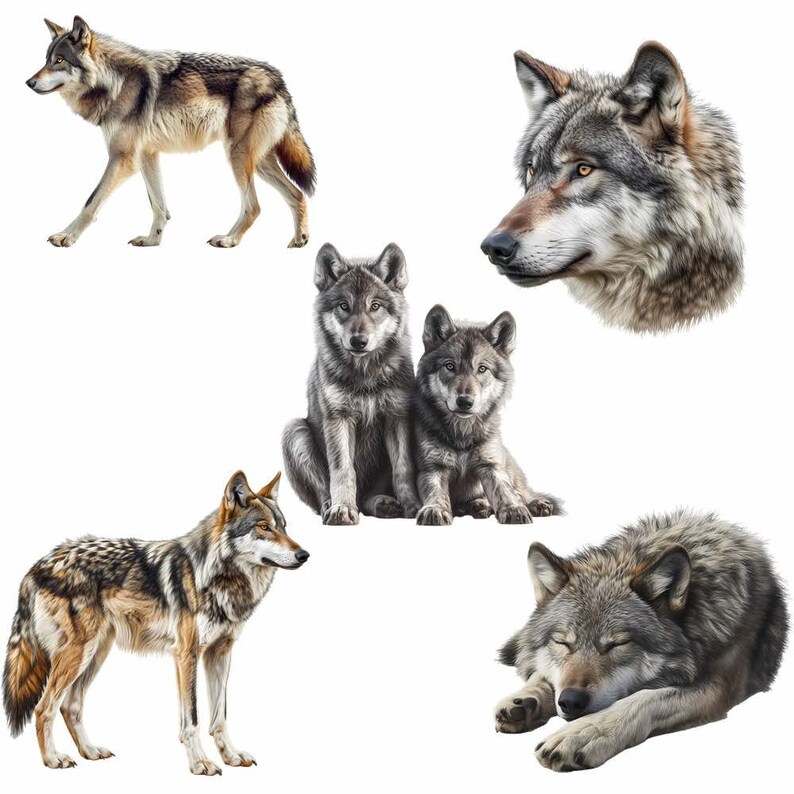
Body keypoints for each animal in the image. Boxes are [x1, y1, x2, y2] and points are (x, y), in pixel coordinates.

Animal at [3, 471, 309, 775]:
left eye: (284, 527)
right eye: (264, 528)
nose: (304, 555)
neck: (217, 577)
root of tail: (38, 565)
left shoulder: (220, 652)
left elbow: (219, 717)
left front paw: (231, 756)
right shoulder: (187, 654)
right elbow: (192, 719)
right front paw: (200, 763)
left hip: (94, 655)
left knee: (70, 706)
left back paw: (90, 751)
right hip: (78, 655)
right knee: (44, 708)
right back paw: (53, 759)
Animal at [26, 16, 316, 248]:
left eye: (59, 60)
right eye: (46, 60)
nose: (29, 82)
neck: (115, 82)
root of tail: (279, 79)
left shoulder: (122, 158)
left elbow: (90, 202)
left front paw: (66, 236)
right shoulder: (147, 155)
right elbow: (159, 206)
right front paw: (152, 241)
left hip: (238, 156)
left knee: (254, 206)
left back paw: (228, 240)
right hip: (259, 161)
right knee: (297, 194)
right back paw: (299, 240)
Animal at [282, 243, 420, 525]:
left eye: (375, 306)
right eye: (344, 306)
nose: (358, 341)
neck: (365, 376)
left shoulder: (397, 417)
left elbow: (403, 468)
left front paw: (412, 505)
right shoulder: (339, 419)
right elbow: (342, 470)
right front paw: (343, 509)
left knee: (368, 499)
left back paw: (383, 504)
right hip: (295, 431)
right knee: (323, 491)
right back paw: (331, 507)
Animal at [413, 304, 559, 525]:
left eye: (482, 369)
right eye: (450, 366)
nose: (465, 402)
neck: (462, 434)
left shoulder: (491, 466)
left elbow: (504, 491)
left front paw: (513, 509)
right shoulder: (433, 467)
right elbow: (435, 491)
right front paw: (435, 509)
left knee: (522, 492)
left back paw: (535, 504)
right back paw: (478, 506)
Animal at [494, 510, 788, 771]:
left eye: (617, 644)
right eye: (562, 643)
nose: (571, 701)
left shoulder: (718, 685)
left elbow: (642, 700)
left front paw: (584, 733)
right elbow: (540, 672)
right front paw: (525, 699)